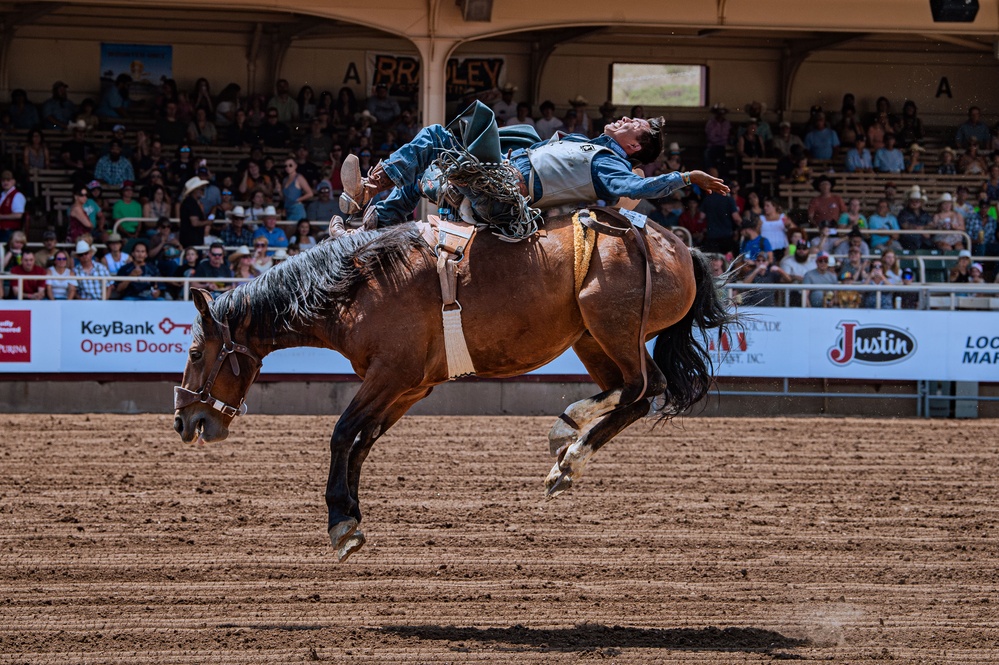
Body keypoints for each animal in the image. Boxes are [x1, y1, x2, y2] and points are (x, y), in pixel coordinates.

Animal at [174, 213, 728, 560]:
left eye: (196, 353)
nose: (184, 421)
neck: (355, 286)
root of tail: (678, 246)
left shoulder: (389, 375)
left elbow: (341, 434)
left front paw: (338, 521)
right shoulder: (409, 387)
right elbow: (362, 443)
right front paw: (351, 514)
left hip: (613, 329)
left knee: (643, 387)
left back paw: (568, 438)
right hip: (592, 339)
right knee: (636, 392)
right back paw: (567, 451)